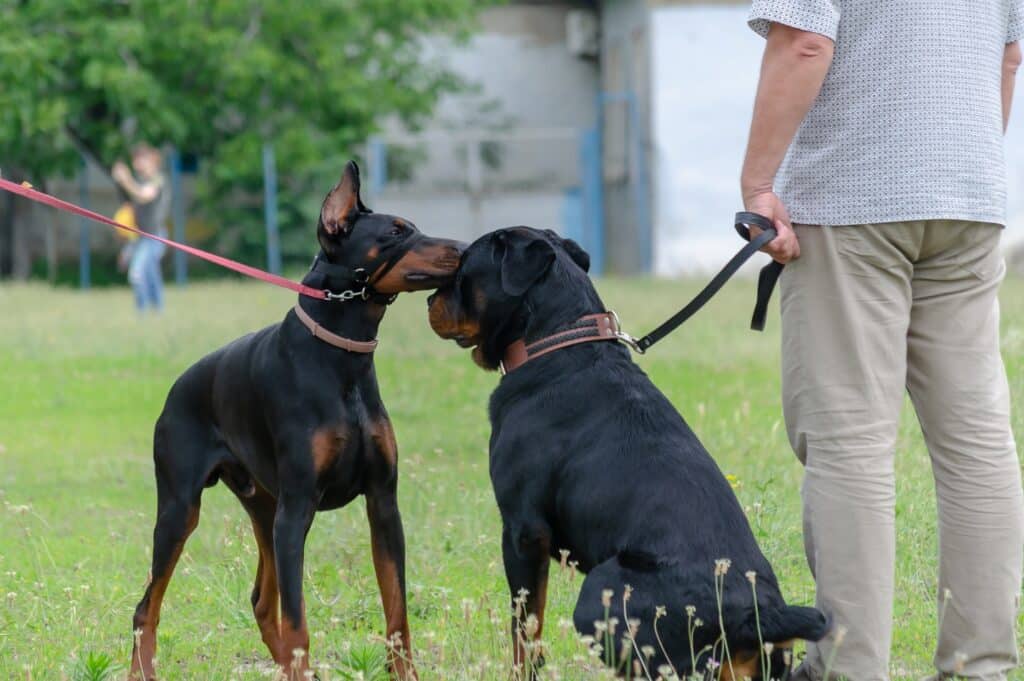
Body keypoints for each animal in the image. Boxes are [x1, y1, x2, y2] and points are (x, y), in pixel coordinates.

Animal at [129, 161, 460, 675]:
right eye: (394, 231)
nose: (463, 249)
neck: (342, 360)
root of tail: (176, 388)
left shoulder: (383, 504)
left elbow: (397, 614)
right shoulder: (297, 510)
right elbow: (299, 621)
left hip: (264, 508)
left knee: (261, 602)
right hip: (183, 510)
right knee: (148, 605)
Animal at [428, 228, 827, 679]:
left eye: (461, 269)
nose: (429, 301)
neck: (556, 342)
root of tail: (756, 613)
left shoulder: (523, 530)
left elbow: (525, 626)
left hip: (604, 590)